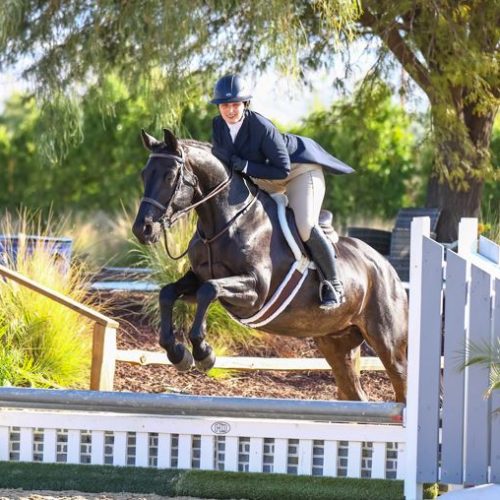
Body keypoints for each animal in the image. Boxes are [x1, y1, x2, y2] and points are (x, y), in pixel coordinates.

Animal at [131, 130, 408, 402]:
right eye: (144, 174)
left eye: (169, 176)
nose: (142, 230)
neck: (225, 224)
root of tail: (386, 268)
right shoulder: (197, 278)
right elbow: (169, 293)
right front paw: (178, 353)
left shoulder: (256, 291)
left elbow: (209, 290)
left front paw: (203, 353)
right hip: (336, 343)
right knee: (355, 394)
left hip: (389, 344)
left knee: (401, 385)